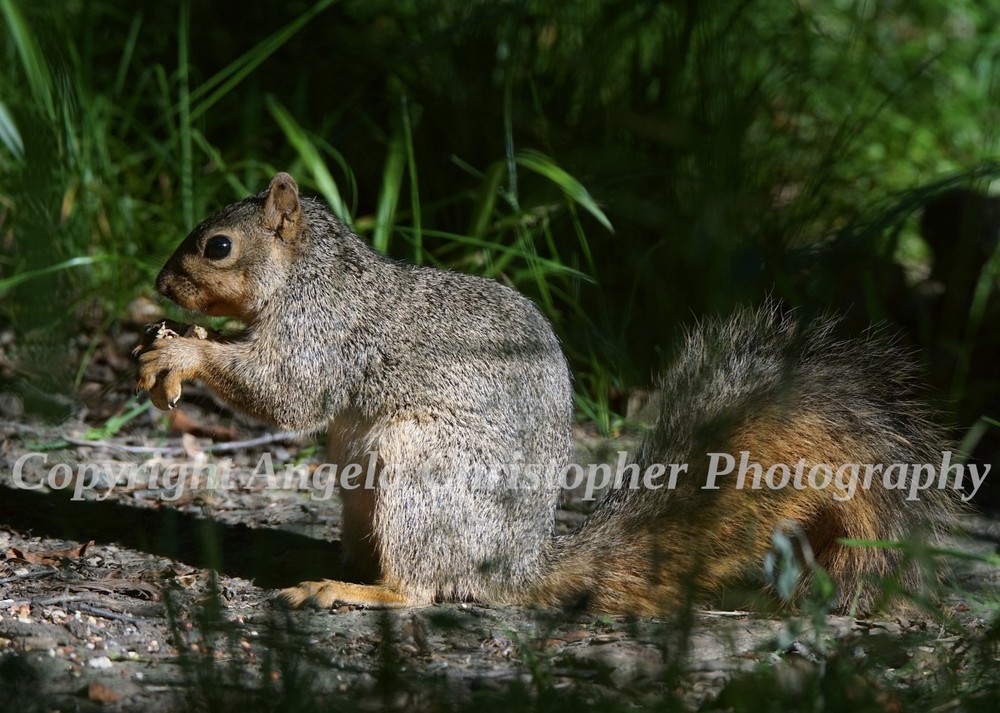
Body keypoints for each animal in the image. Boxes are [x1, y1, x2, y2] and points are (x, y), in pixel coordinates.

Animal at [135, 172, 960, 615]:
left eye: (217, 246)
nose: (161, 285)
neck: (311, 271)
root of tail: (516, 567)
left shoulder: (325, 329)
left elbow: (288, 391)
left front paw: (184, 350)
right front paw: (169, 339)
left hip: (423, 470)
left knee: (422, 588)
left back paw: (352, 589)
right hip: (365, 487)